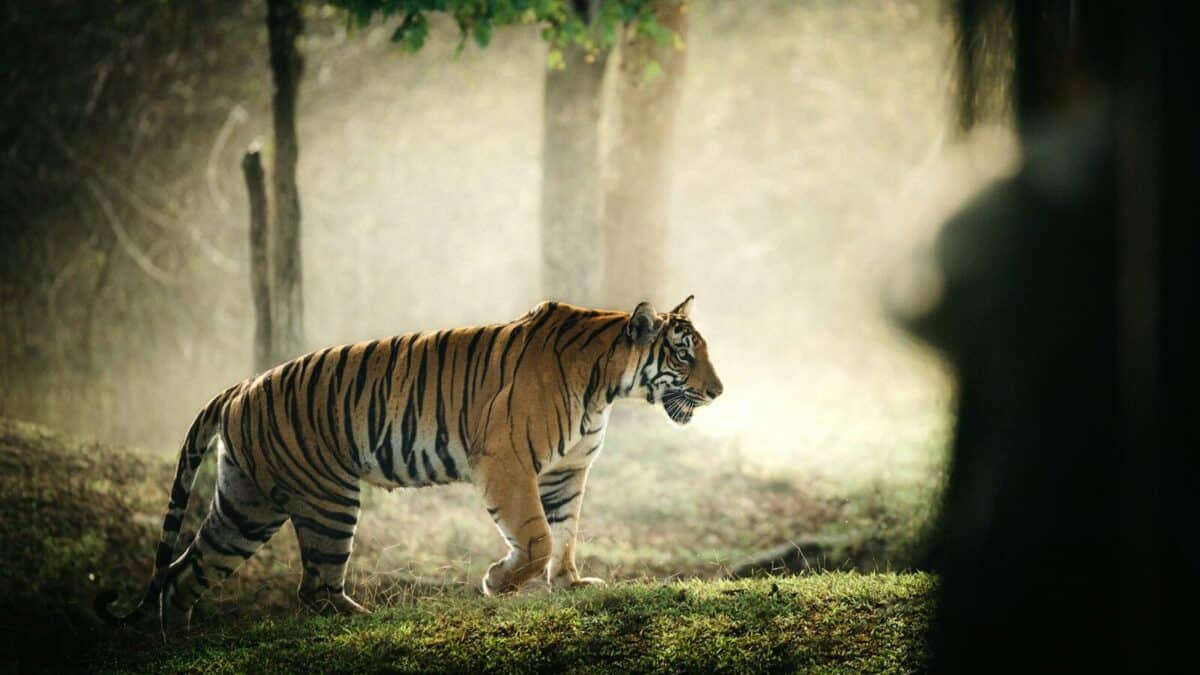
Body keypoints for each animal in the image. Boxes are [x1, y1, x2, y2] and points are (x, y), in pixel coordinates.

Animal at [96, 296, 722, 637]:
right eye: (683, 354)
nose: (718, 391)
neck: (606, 387)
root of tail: (240, 386)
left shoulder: (567, 473)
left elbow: (565, 534)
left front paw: (570, 584)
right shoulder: (507, 462)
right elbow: (537, 537)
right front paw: (498, 582)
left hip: (246, 504)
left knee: (185, 572)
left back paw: (179, 642)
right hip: (327, 499)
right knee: (312, 587)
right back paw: (364, 618)